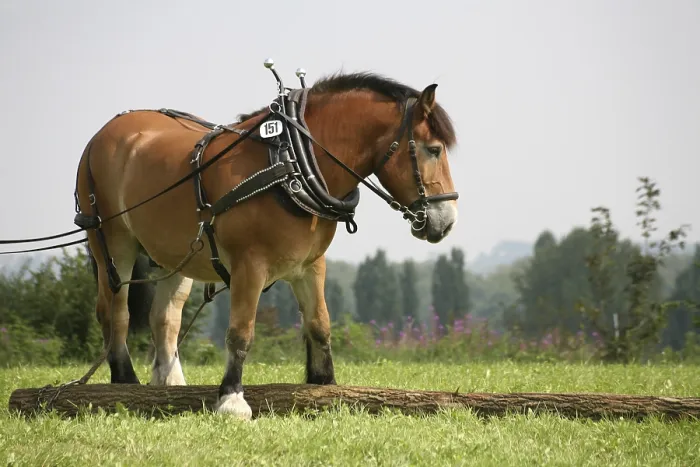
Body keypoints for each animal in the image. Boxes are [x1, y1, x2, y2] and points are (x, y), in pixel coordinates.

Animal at [73, 65, 460, 419]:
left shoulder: (309, 266)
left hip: (175, 253)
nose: (447, 220)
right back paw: (125, 381)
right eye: (434, 149)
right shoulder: (249, 266)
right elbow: (240, 332)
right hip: (111, 239)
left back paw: (169, 386)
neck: (291, 161)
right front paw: (231, 399)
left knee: (164, 316)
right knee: (115, 312)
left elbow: (319, 325)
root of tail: (103, 134)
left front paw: (326, 387)